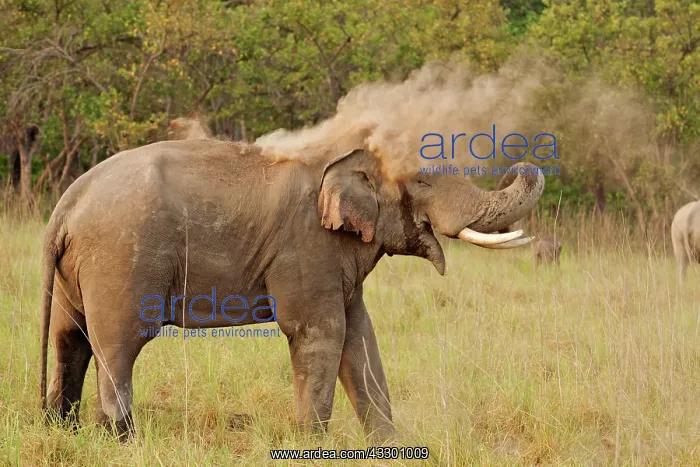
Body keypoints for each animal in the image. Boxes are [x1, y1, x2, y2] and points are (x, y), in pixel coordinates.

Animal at [39, 140, 544, 442]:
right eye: (421, 180)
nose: (518, 163)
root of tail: (67, 203)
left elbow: (359, 336)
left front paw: (393, 446)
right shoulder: (308, 246)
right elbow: (319, 332)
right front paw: (311, 445)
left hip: (78, 270)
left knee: (71, 339)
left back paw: (62, 432)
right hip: (120, 258)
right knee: (119, 344)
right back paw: (121, 440)